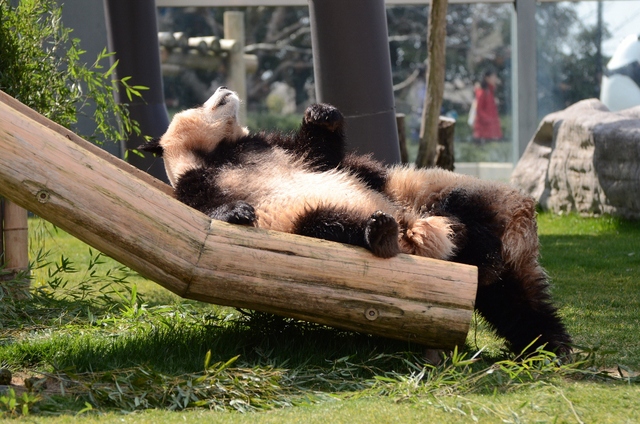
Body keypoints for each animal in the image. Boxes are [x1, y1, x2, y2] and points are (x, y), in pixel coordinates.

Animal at [139, 85, 456, 258]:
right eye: (196, 103)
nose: (222, 88)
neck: (218, 150)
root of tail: (408, 227)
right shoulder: (193, 179)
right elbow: (202, 208)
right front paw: (238, 211)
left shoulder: (276, 149)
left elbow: (319, 156)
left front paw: (321, 114)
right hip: (300, 218)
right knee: (326, 223)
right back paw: (380, 233)